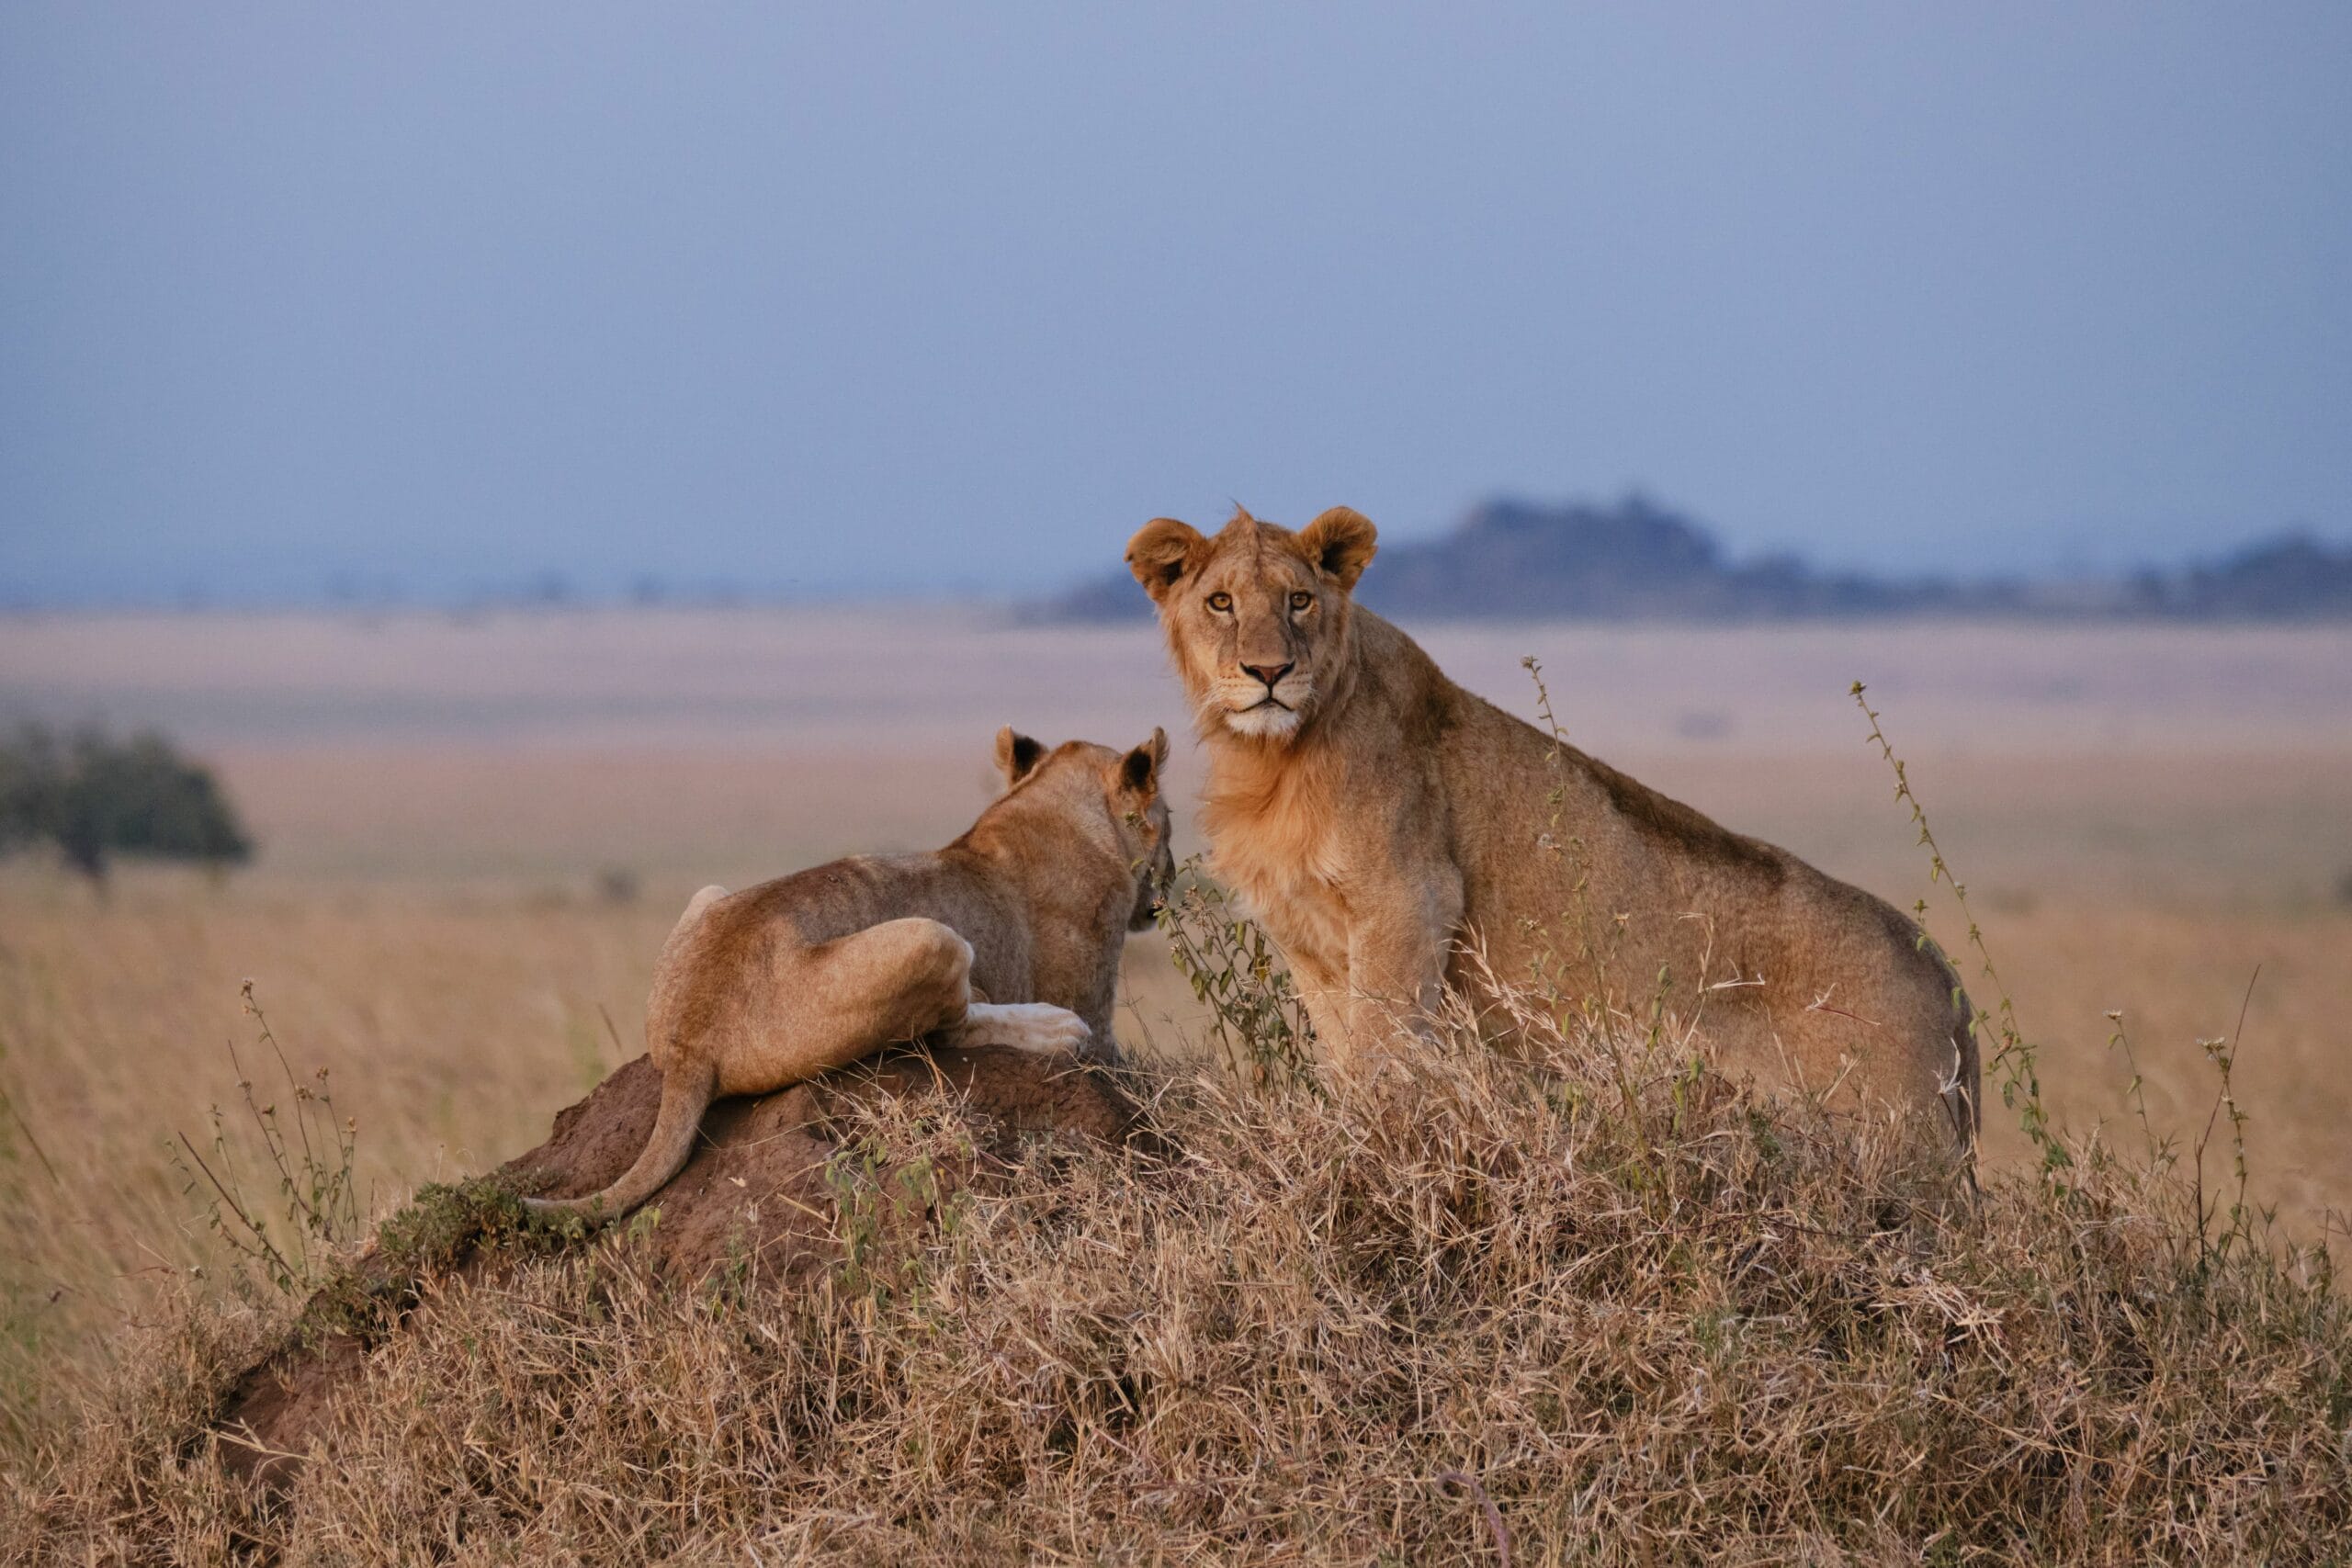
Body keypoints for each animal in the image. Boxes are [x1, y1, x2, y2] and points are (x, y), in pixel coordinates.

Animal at [524, 728, 1166, 1222]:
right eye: (1171, 822)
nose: (1168, 889)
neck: (1050, 807)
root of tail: (687, 1044)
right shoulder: (1094, 1001)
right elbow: (1116, 1056)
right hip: (930, 937)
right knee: (953, 1026)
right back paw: (1053, 1029)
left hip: (709, 894)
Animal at [1128, 510, 1975, 1146]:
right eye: (1221, 603)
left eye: (1299, 600)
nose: (1268, 673)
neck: (1271, 757)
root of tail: (1945, 976)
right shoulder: (1309, 936)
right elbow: (1345, 1049)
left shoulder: (1411, 896)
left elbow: (1381, 1049)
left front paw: (1372, 1141)